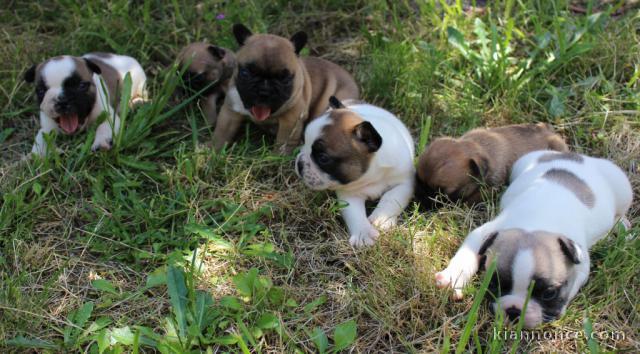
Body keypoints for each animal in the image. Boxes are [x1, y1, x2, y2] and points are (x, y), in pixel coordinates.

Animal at [211, 23, 358, 153]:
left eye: (284, 79)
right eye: (245, 73)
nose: (264, 90)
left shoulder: (291, 120)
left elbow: (284, 142)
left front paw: (278, 157)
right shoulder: (230, 111)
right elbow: (222, 132)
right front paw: (212, 151)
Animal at [296, 96, 416, 246]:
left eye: (323, 158)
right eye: (304, 142)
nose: (299, 163)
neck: (373, 173)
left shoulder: (405, 183)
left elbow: (391, 198)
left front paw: (381, 219)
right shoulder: (349, 194)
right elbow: (354, 213)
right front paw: (363, 233)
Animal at [432, 149, 632, 326]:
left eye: (549, 294)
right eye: (494, 284)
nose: (514, 310)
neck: (535, 224)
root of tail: (575, 155)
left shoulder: (581, 264)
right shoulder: (485, 233)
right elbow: (465, 256)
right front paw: (453, 278)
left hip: (622, 186)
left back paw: (621, 225)